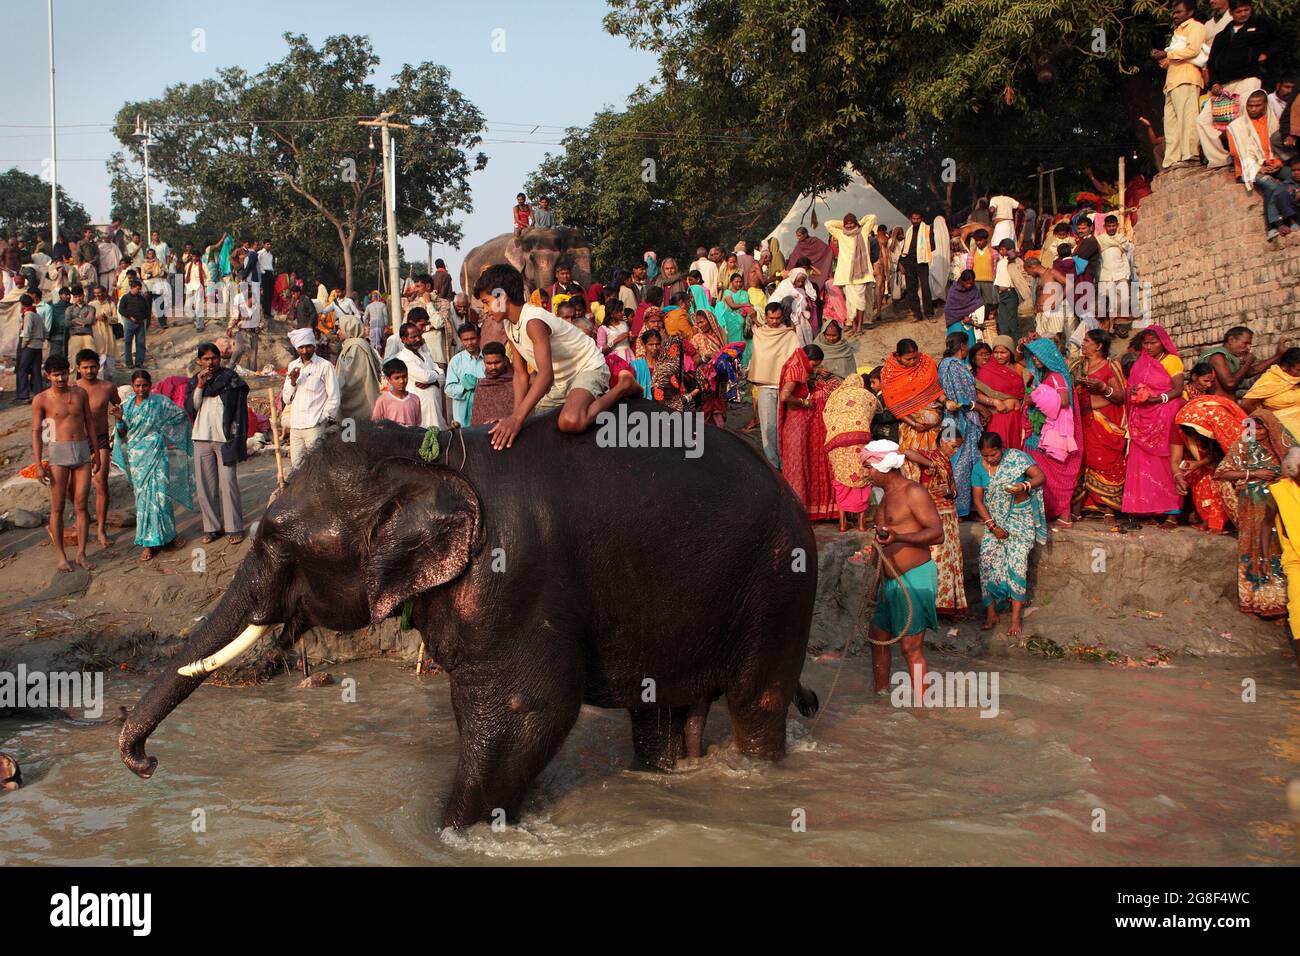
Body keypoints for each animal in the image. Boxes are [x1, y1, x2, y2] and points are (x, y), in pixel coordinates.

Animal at [119, 405, 811, 832]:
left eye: (277, 542)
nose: (145, 764)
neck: (429, 455)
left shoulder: (514, 576)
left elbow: (526, 710)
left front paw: (453, 836)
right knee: (660, 713)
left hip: (779, 579)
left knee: (757, 700)